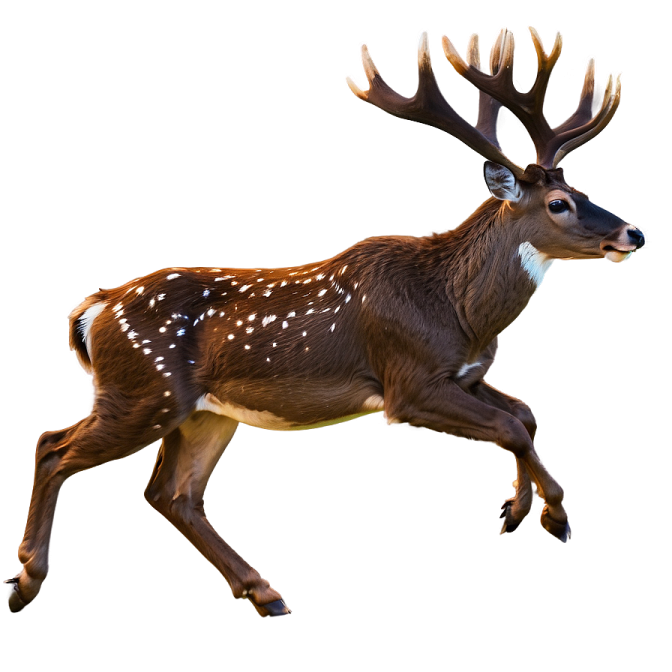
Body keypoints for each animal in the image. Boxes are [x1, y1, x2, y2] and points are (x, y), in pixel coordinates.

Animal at [6, 25, 645, 618]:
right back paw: (26, 580)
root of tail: (90, 310)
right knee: (53, 447)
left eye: (583, 188)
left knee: (171, 493)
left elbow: (526, 414)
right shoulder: (406, 385)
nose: (635, 232)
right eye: (559, 204)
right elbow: (512, 426)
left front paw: (515, 510)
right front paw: (554, 515)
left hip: (204, 411)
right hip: (143, 392)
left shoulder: (466, 374)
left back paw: (264, 592)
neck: (458, 312)